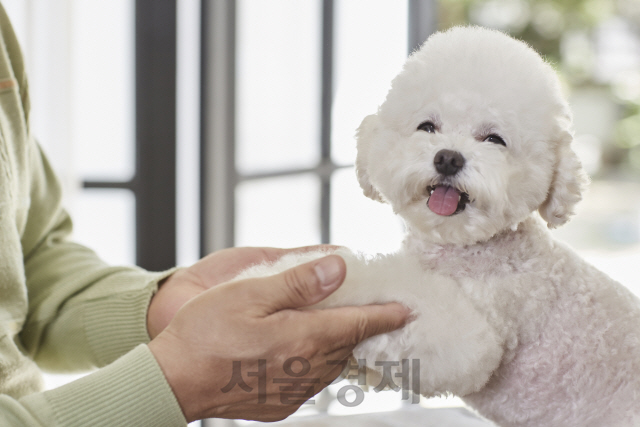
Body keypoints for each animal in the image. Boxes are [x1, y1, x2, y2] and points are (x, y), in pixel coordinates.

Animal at [234, 26, 640, 427]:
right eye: (428, 126)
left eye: (494, 139)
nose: (448, 158)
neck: (462, 248)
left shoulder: (473, 333)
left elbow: (378, 283)